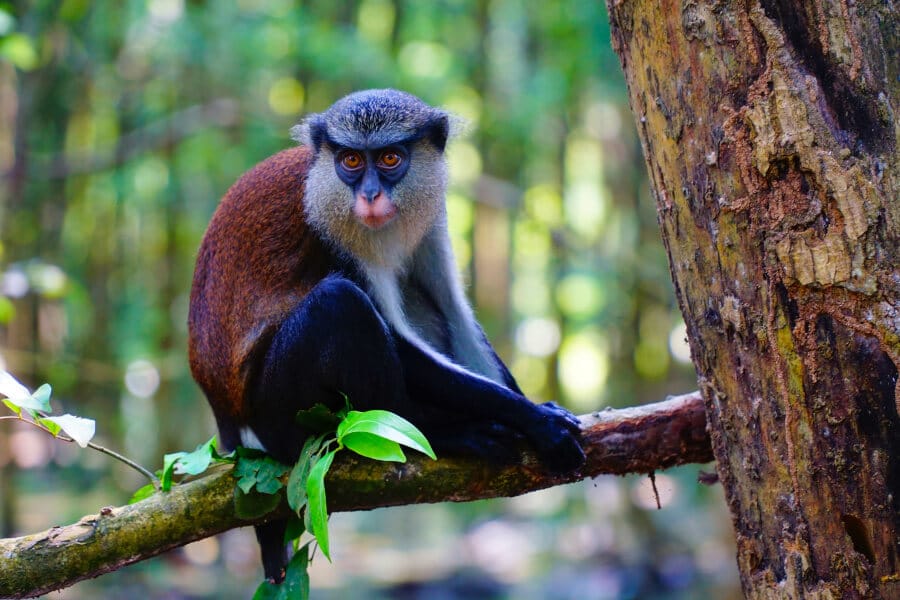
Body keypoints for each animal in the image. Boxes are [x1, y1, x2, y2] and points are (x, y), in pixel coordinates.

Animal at [187, 89, 585, 583]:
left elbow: (454, 313)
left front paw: (531, 407)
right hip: (277, 416)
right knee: (340, 303)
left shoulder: (431, 217)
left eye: (391, 158)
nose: (371, 195)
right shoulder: (334, 237)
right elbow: (402, 347)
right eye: (352, 160)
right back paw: (439, 432)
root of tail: (229, 423)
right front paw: (537, 420)